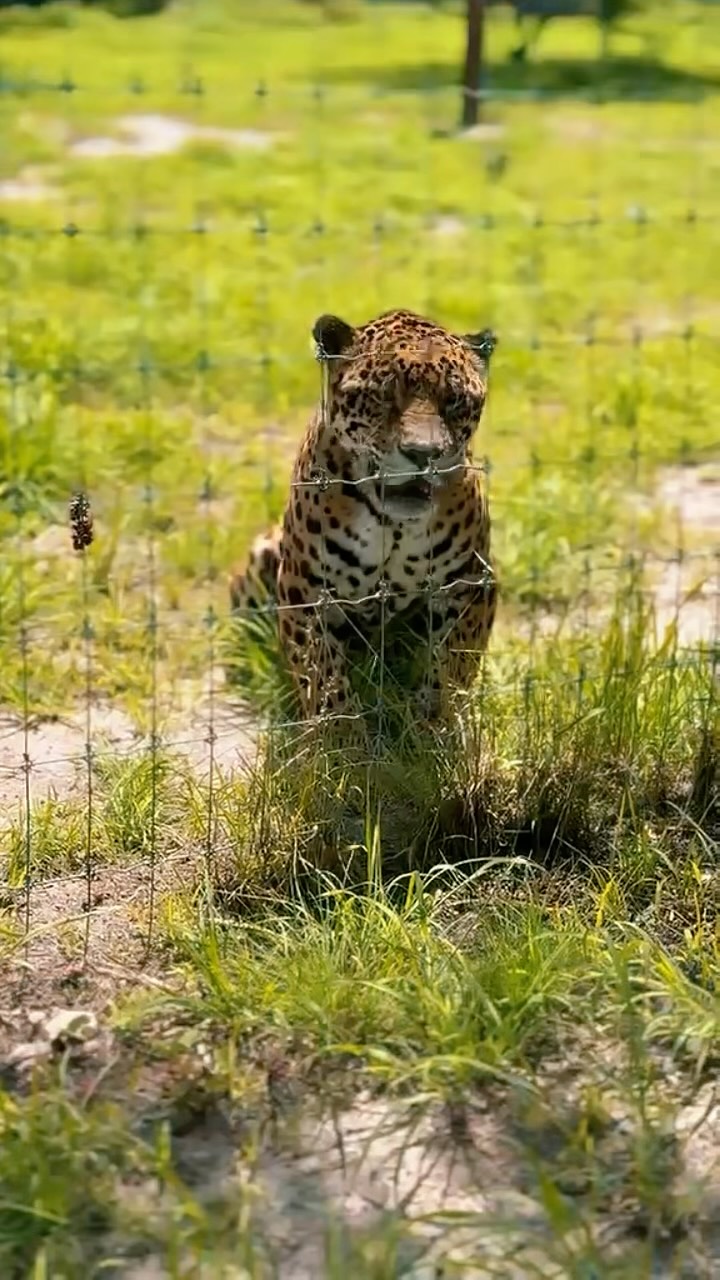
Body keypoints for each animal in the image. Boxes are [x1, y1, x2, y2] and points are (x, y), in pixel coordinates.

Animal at [229, 308, 498, 729]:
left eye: (455, 399)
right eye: (382, 395)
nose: (424, 453)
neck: (394, 526)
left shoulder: (472, 581)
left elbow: (453, 666)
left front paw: (436, 727)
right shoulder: (306, 590)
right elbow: (323, 680)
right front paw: (341, 740)